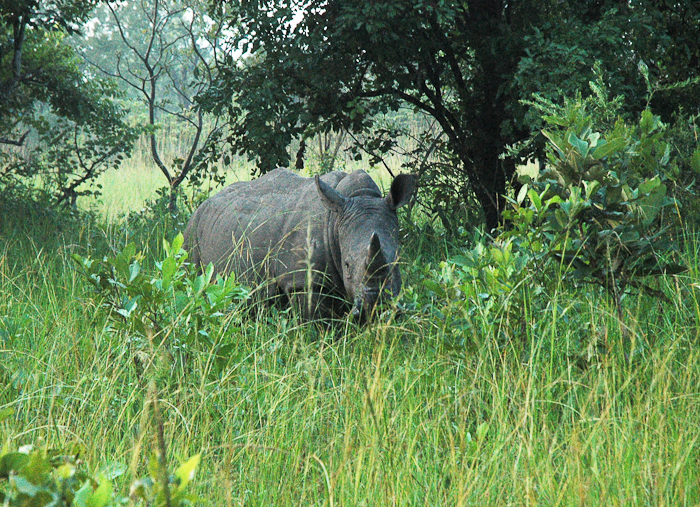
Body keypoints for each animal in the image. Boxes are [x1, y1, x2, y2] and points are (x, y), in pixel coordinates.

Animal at [185, 171, 416, 322]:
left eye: (397, 263)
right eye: (347, 266)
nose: (376, 305)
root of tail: (204, 204)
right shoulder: (303, 281)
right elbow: (318, 323)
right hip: (192, 229)